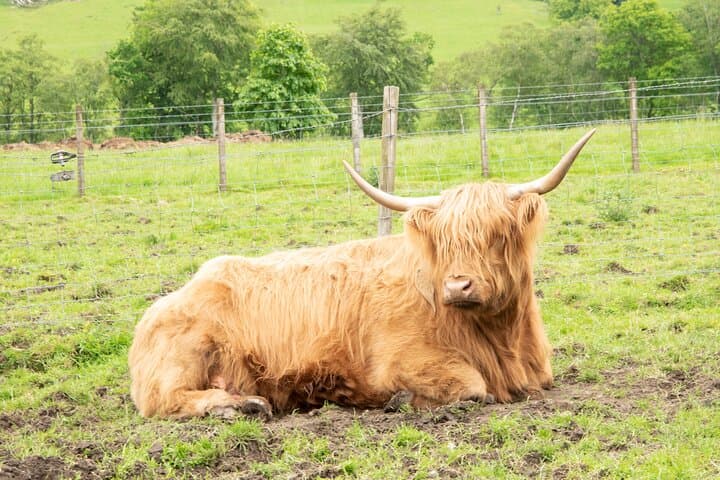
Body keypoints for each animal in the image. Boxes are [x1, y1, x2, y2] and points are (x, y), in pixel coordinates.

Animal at [128, 130, 596, 420]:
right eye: (443, 241)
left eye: (496, 234)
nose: (457, 284)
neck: (502, 337)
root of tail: (165, 302)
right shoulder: (403, 362)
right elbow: (471, 385)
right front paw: (401, 400)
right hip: (184, 358)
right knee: (167, 400)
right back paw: (243, 405)